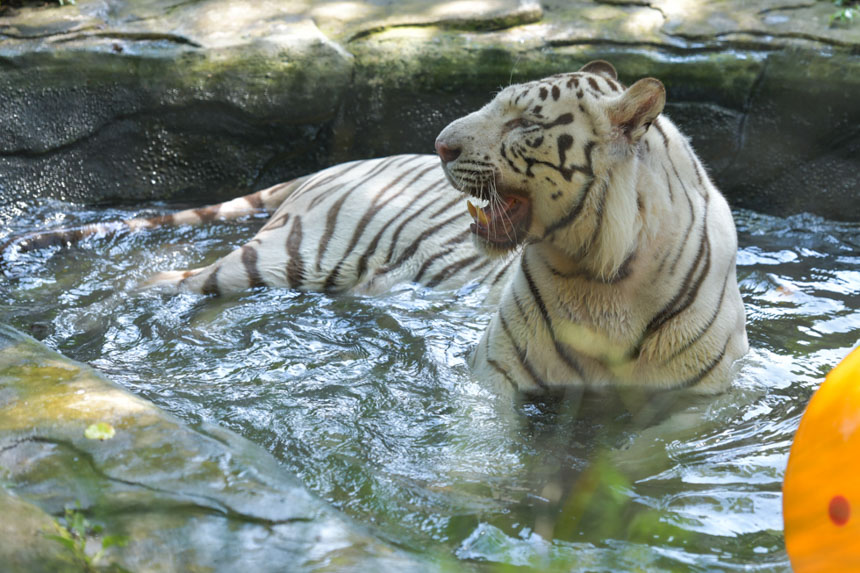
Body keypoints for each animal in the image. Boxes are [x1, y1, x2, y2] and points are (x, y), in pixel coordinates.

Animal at [1, 61, 744, 394]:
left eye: (525, 123)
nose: (441, 143)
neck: (599, 273)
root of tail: (332, 165)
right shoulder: (496, 376)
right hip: (286, 255)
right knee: (158, 277)